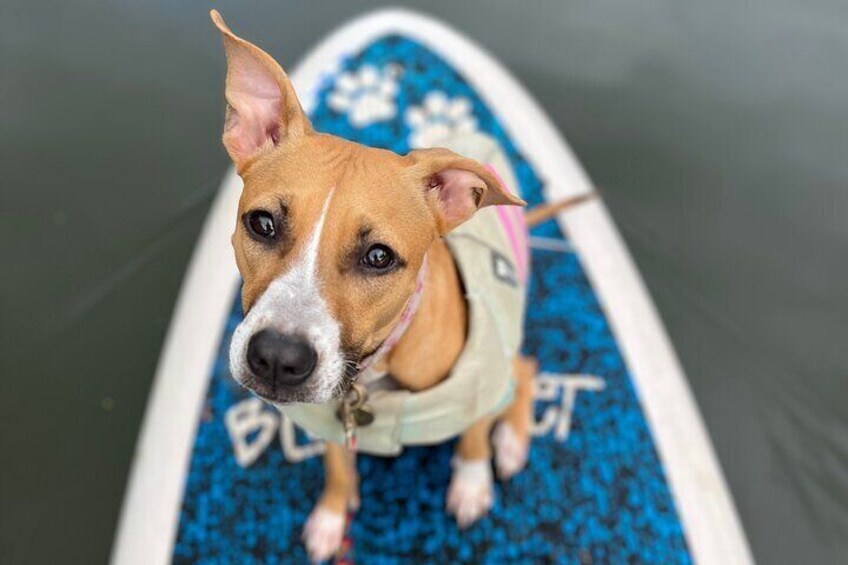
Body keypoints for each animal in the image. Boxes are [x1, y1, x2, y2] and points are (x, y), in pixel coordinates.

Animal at [215, 12, 540, 560]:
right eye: (261, 224)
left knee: (527, 371)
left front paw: (472, 485)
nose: (277, 359)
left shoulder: (478, 380)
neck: (370, 378)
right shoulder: (327, 419)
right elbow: (335, 465)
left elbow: (473, 435)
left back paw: (512, 442)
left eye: (379, 257)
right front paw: (331, 516)